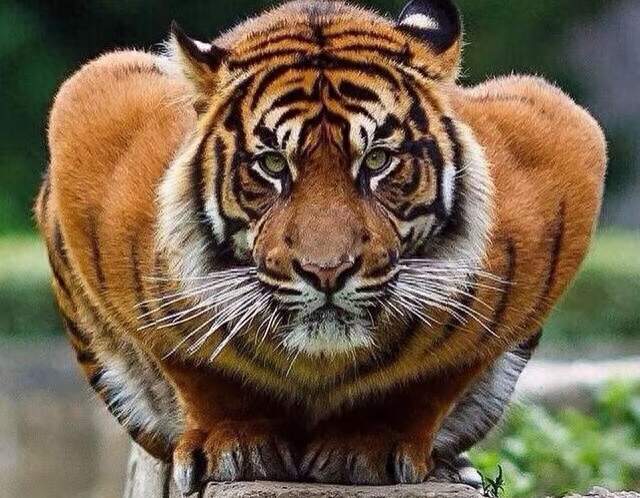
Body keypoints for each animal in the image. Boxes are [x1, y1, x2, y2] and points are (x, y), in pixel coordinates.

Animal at [35, 0, 606, 491]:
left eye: (377, 161)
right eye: (272, 164)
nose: (326, 272)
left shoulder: (563, 139)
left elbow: (434, 377)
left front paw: (369, 446)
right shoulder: (90, 106)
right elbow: (194, 362)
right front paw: (235, 442)